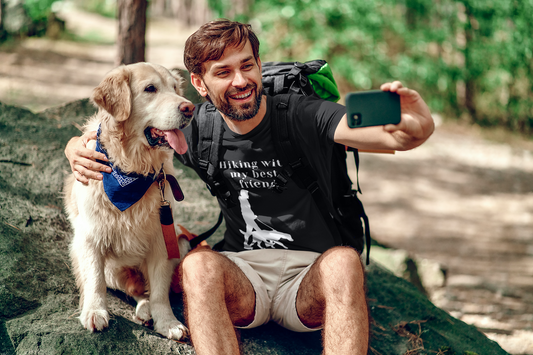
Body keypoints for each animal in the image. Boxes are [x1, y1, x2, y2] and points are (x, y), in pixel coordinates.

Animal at [63, 62, 194, 340]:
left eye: (175, 88)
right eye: (150, 89)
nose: (189, 108)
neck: (133, 170)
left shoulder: (162, 239)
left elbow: (159, 291)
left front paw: (167, 322)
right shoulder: (89, 237)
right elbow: (94, 281)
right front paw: (94, 311)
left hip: (181, 240)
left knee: (145, 290)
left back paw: (147, 311)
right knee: (132, 288)